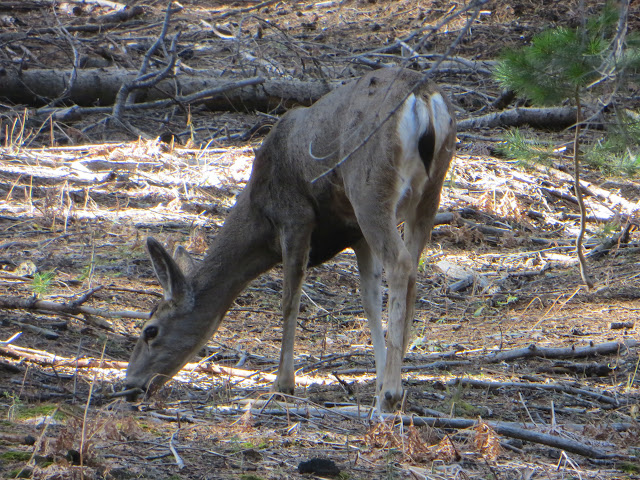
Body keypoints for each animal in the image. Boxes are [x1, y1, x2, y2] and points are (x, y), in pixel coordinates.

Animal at [124, 66, 456, 412]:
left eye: (150, 331)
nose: (129, 385)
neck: (257, 213)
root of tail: (424, 98)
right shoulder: (355, 233)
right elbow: (369, 299)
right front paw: (376, 377)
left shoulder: (295, 217)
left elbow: (289, 300)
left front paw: (283, 384)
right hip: (429, 193)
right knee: (413, 268)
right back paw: (394, 385)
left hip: (369, 187)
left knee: (401, 263)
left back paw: (390, 395)